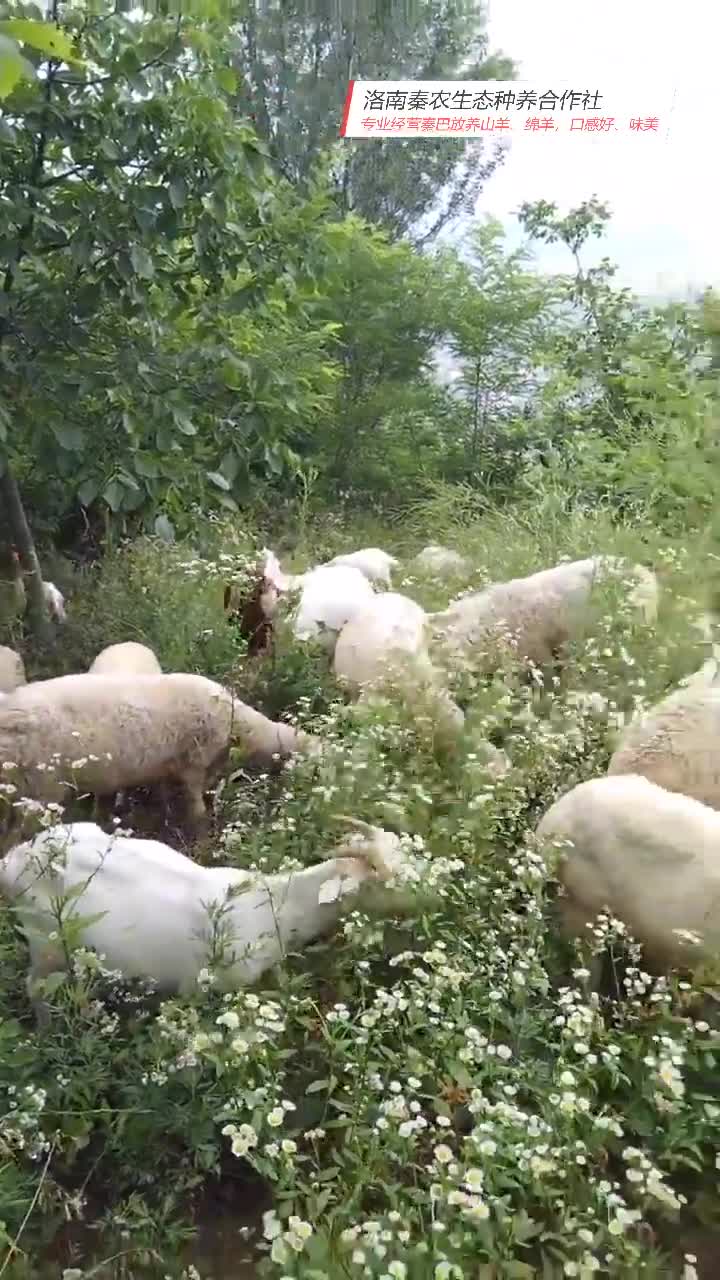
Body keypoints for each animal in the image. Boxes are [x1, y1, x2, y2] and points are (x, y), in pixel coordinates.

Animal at [0, 814, 412, 1013]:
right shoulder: (200, 988)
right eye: (384, 880)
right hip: (44, 942)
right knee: (35, 987)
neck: (273, 907)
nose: (423, 900)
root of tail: (14, 858)